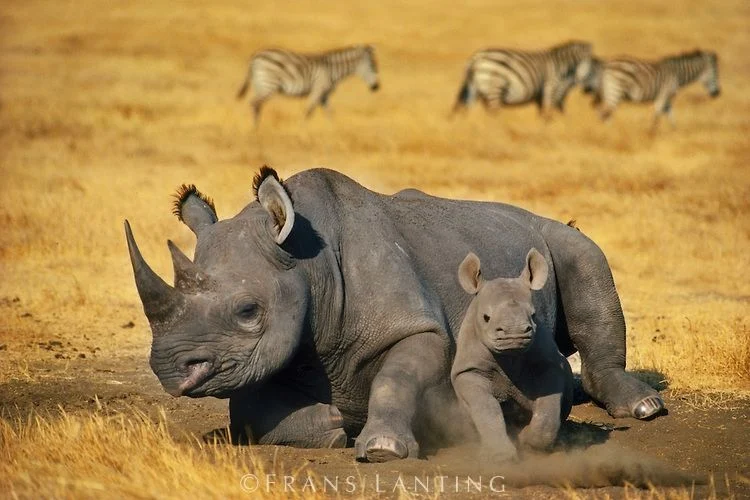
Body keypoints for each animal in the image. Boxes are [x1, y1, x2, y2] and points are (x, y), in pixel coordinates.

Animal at [236, 45, 380, 126]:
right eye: (373, 66)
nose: (376, 87)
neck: (332, 70)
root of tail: (255, 56)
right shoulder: (319, 88)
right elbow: (308, 110)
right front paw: (302, 129)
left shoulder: (324, 95)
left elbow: (329, 112)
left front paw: (333, 128)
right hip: (269, 84)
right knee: (255, 103)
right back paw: (255, 129)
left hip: (260, 85)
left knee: (256, 105)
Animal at [452, 41, 594, 117]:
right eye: (584, 62)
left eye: (591, 63)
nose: (580, 79)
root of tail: (476, 57)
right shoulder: (550, 87)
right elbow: (548, 111)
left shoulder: (548, 93)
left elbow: (546, 111)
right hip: (495, 87)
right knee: (493, 113)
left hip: (474, 89)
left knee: (467, 112)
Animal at [452, 249, 574, 463]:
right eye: (486, 318)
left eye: (533, 315)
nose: (514, 334)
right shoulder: (469, 370)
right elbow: (487, 407)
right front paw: (500, 456)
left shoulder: (549, 365)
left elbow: (548, 403)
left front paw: (528, 442)